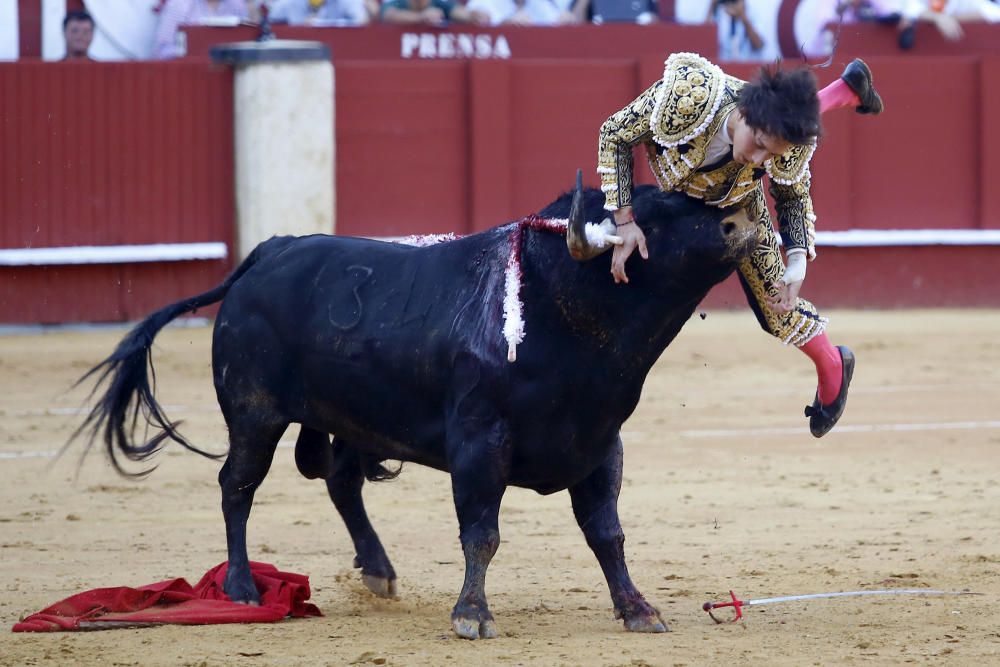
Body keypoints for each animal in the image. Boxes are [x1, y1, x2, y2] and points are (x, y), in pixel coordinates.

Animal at [76, 175, 752, 640]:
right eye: (655, 219)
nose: (739, 221)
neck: (559, 307)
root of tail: (269, 252)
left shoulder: (600, 444)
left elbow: (607, 533)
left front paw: (637, 608)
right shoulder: (480, 441)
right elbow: (482, 533)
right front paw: (472, 615)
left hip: (349, 416)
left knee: (340, 482)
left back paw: (377, 569)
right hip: (254, 414)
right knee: (237, 486)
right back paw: (241, 586)